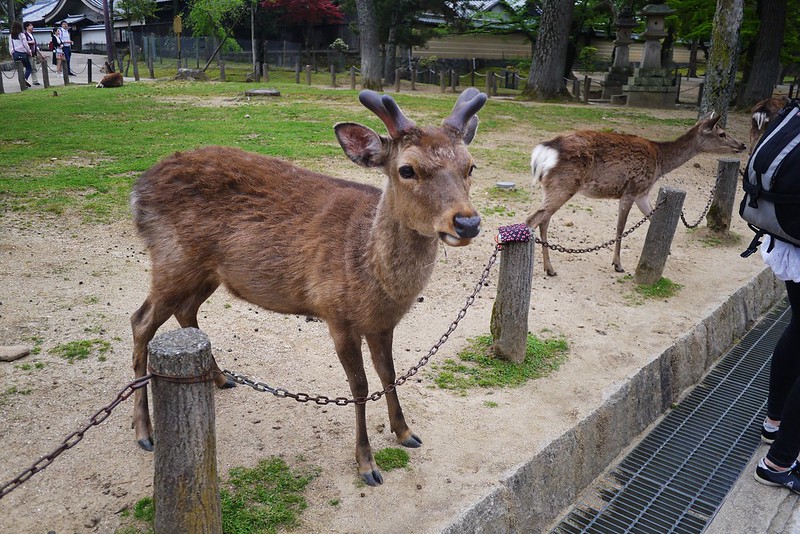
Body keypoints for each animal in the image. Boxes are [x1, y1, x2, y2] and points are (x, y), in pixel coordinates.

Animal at [129, 88, 487, 486]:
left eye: (470, 166)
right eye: (407, 169)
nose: (467, 223)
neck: (373, 277)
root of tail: (138, 190)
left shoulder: (382, 323)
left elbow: (390, 373)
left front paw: (406, 432)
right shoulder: (336, 314)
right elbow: (360, 387)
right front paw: (367, 464)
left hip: (205, 272)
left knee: (185, 310)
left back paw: (219, 378)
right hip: (171, 259)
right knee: (141, 321)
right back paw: (145, 432)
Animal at [525, 114, 746, 276]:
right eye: (722, 133)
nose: (742, 145)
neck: (660, 162)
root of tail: (544, 151)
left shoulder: (643, 194)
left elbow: (652, 217)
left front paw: (666, 251)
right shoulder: (631, 190)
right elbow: (621, 228)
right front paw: (618, 264)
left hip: (552, 186)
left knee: (544, 219)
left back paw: (549, 268)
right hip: (565, 183)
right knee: (532, 219)